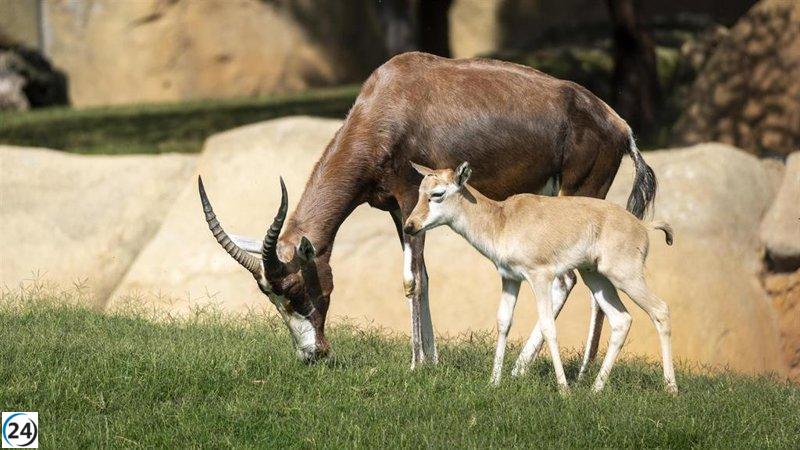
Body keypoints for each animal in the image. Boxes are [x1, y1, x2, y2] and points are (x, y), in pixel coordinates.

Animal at [198, 52, 658, 369]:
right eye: (271, 297)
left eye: (293, 289)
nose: (313, 355)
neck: (390, 100)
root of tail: (619, 125)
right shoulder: (397, 209)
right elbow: (424, 275)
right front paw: (432, 360)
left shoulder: (408, 195)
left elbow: (410, 280)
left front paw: (416, 364)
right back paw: (581, 370)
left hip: (580, 192)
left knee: (568, 277)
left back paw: (537, 369)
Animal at [403, 161, 676, 392]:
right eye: (420, 191)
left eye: (437, 193)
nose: (409, 226)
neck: (502, 220)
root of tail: (642, 226)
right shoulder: (510, 279)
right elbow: (503, 322)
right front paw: (494, 382)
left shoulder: (540, 277)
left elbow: (548, 325)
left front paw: (564, 389)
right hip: (596, 278)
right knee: (621, 320)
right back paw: (595, 390)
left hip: (625, 276)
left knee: (660, 310)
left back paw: (671, 389)